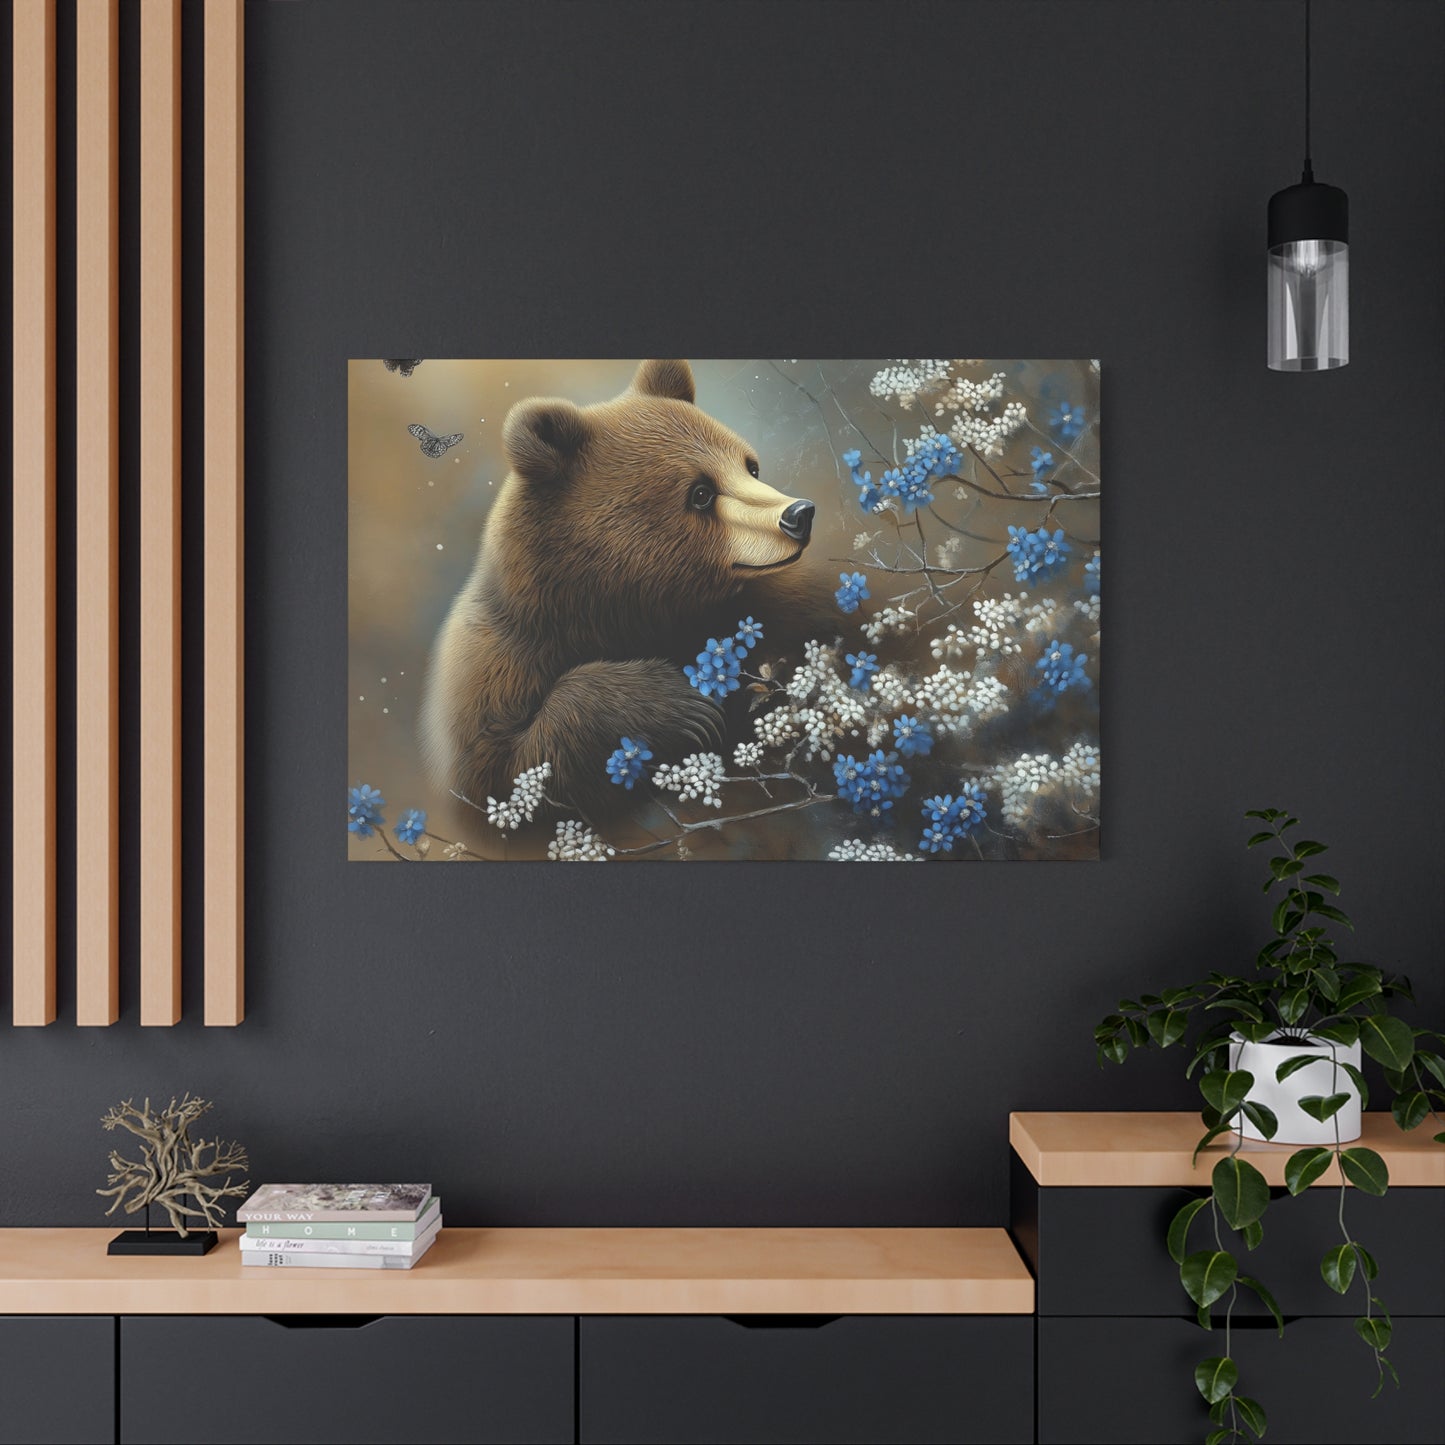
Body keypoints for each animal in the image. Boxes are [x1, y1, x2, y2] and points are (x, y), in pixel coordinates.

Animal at [419, 359, 831, 817]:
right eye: (701, 493)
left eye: (750, 466)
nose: (799, 514)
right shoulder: (494, 666)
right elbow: (505, 773)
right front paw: (682, 705)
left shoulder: (782, 605)